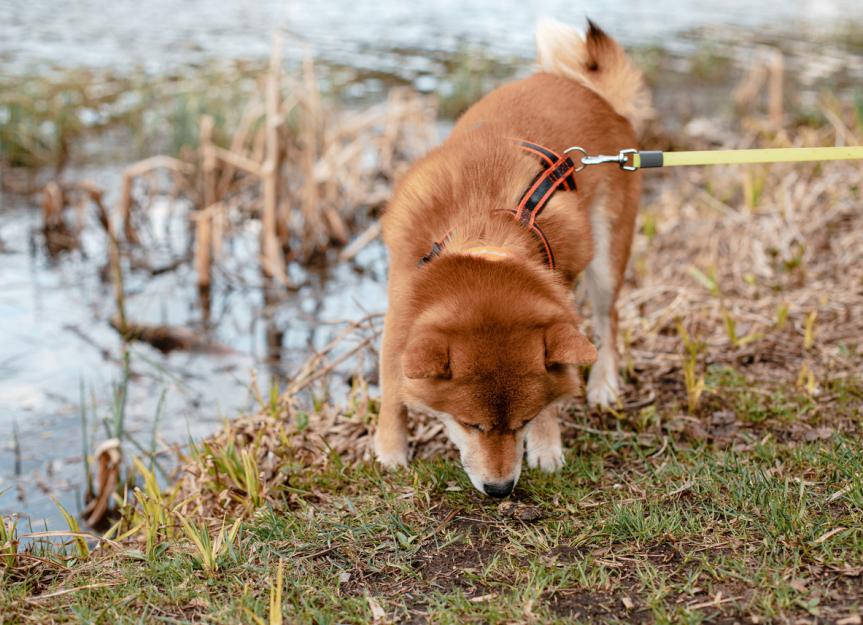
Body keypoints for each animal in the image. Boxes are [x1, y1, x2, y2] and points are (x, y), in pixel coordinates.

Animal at [374, 18, 652, 498]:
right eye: (471, 425)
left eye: (523, 420)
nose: (501, 489)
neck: (484, 230)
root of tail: (586, 90)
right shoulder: (401, 303)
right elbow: (393, 383)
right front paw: (391, 449)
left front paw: (546, 444)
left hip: (604, 260)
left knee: (609, 317)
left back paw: (604, 384)